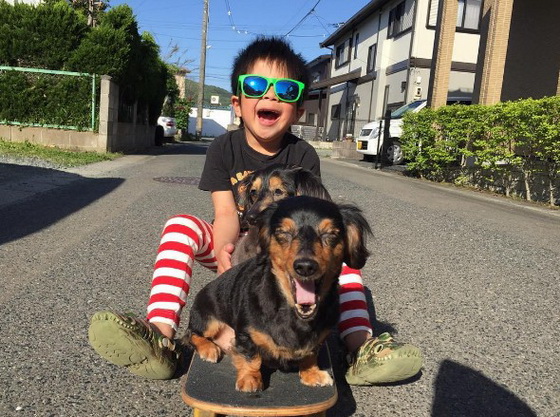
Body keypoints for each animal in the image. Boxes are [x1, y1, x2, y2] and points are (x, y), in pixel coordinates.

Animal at [185, 195, 372, 392]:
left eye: (330, 234)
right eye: (283, 232)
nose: (305, 266)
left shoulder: (317, 339)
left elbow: (311, 354)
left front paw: (311, 374)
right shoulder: (245, 333)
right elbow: (251, 356)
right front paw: (250, 378)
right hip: (207, 319)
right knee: (191, 334)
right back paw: (208, 349)